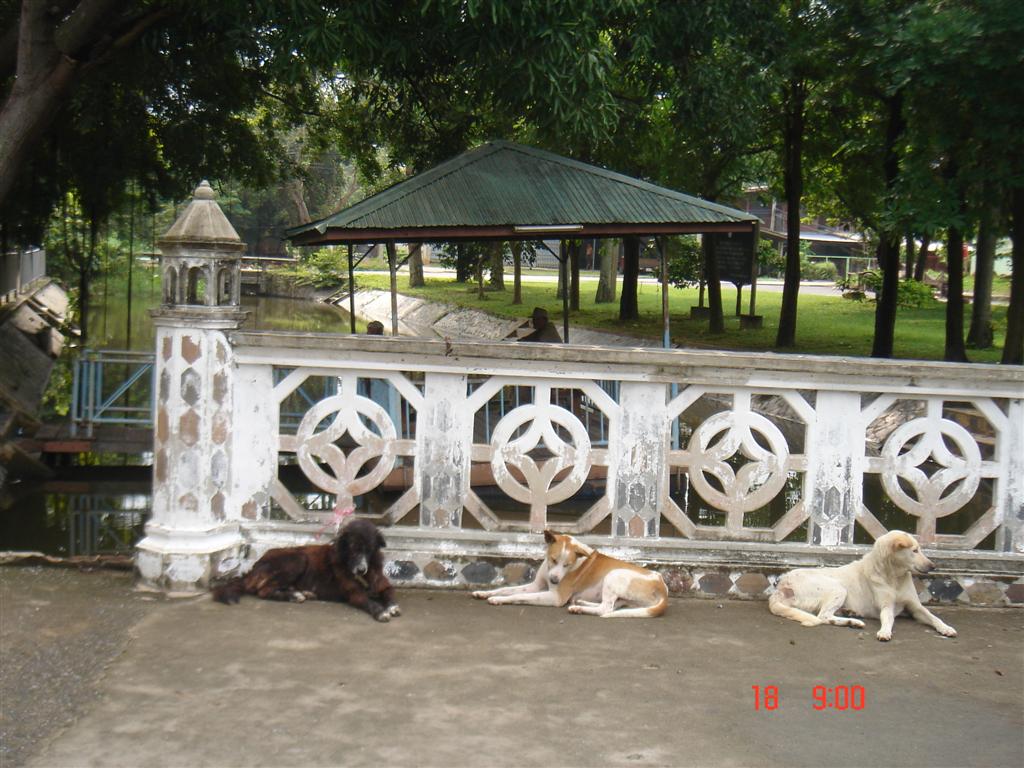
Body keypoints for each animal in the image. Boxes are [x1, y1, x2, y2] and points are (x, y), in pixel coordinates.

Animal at [212, 519, 400, 622]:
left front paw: (391, 606)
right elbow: (370, 602)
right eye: (353, 549)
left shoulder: (383, 585)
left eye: (369, 550)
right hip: (298, 559)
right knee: (263, 591)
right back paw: (294, 595)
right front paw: (381, 612)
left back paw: (302, 593)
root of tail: (253, 568)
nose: (361, 570)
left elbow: (390, 594)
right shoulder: (355, 594)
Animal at [472, 530, 668, 618]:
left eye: (567, 564)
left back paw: (579, 608)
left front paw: (498, 600)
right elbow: (505, 589)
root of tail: (662, 587)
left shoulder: (555, 597)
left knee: (606, 609)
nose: (554, 580)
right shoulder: (536, 585)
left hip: (614, 575)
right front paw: (485, 593)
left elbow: (518, 597)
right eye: (553, 560)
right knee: (613, 606)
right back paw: (581, 603)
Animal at [768, 530, 956, 641]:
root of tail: (782, 584)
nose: (933, 566)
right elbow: (888, 619)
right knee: (823, 617)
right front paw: (885, 631)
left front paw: (946, 628)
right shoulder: (886, 606)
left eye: (920, 549)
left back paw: (851, 616)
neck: (894, 578)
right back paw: (853, 621)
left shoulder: (916, 607)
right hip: (838, 588)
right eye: (915, 551)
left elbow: (934, 617)